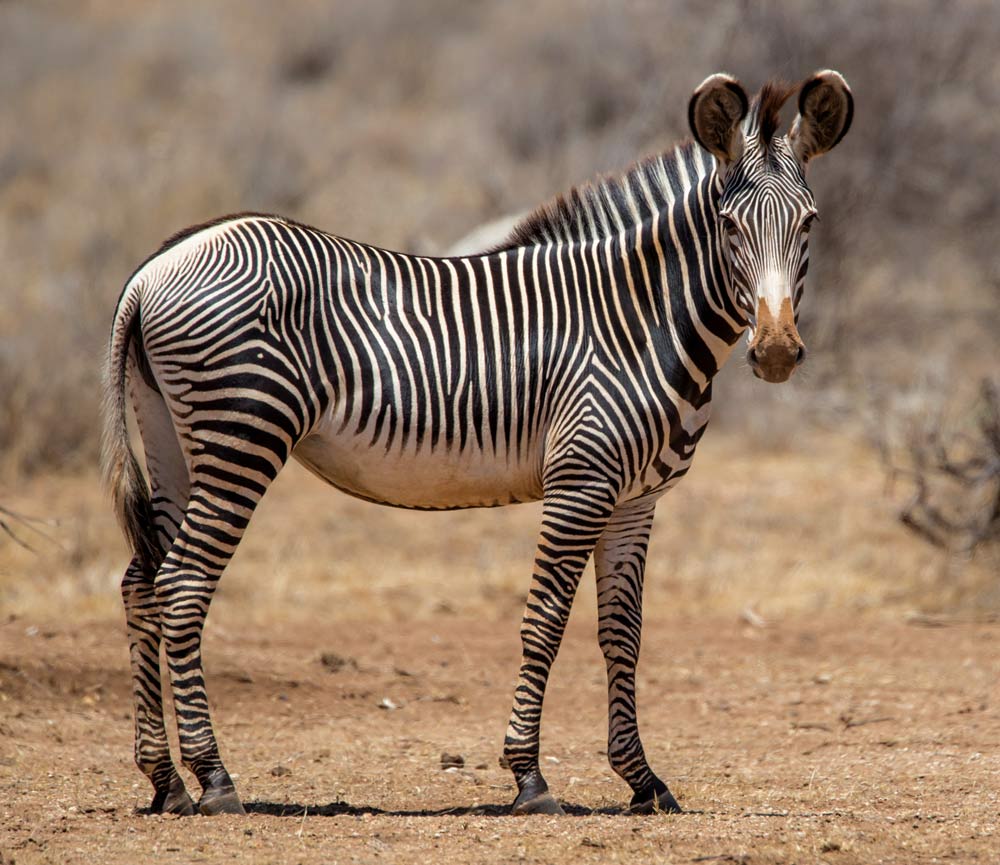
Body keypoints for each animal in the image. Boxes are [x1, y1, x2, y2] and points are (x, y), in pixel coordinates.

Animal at [101, 69, 852, 816]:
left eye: (810, 222)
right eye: (728, 225)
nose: (776, 353)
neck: (640, 321)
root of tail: (154, 268)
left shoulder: (638, 497)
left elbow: (623, 632)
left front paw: (641, 777)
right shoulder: (582, 481)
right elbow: (545, 620)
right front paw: (529, 777)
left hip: (172, 437)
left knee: (142, 580)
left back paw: (164, 779)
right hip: (242, 433)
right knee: (183, 580)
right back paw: (214, 777)